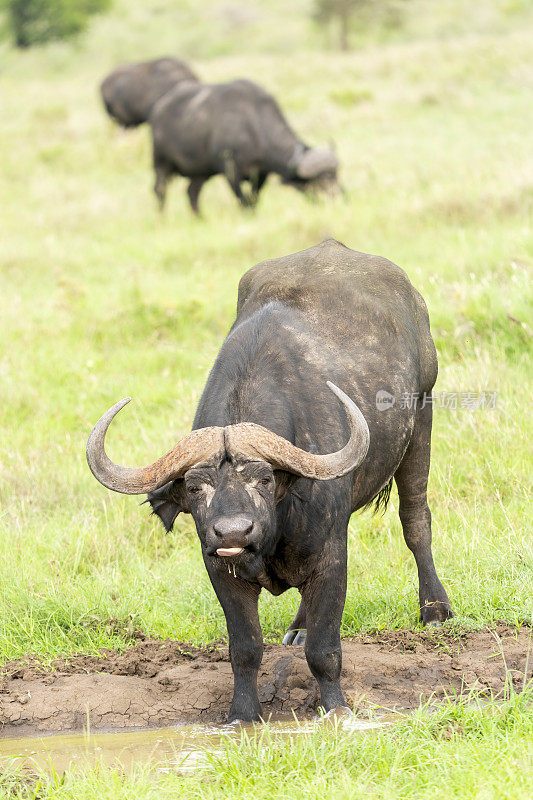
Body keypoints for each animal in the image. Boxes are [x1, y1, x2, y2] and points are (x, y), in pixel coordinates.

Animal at [87, 241, 454, 720]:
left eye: (263, 479)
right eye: (196, 487)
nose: (233, 532)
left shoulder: (332, 556)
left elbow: (325, 650)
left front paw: (335, 709)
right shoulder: (218, 567)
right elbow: (244, 648)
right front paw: (243, 715)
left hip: (423, 417)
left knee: (415, 520)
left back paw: (435, 608)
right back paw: (298, 628)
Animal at [148, 79, 338, 212]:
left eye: (336, 175)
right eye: (322, 179)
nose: (338, 196)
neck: (252, 124)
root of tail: (158, 109)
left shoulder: (261, 175)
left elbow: (253, 199)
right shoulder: (230, 171)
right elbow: (243, 200)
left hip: (200, 171)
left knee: (192, 192)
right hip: (161, 161)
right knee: (160, 190)